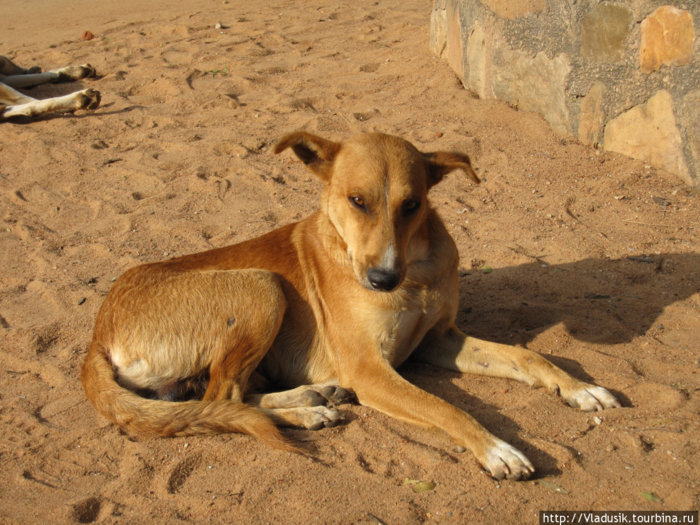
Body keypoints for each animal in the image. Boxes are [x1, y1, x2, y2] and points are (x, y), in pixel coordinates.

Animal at [82, 132, 616, 478]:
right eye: (357, 200)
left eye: (412, 204)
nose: (382, 279)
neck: (416, 271)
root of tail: (97, 335)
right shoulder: (368, 369)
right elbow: (445, 407)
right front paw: (496, 449)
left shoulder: (438, 340)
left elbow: (528, 355)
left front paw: (581, 388)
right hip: (262, 286)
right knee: (223, 399)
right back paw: (307, 410)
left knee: (220, 400)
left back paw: (312, 399)